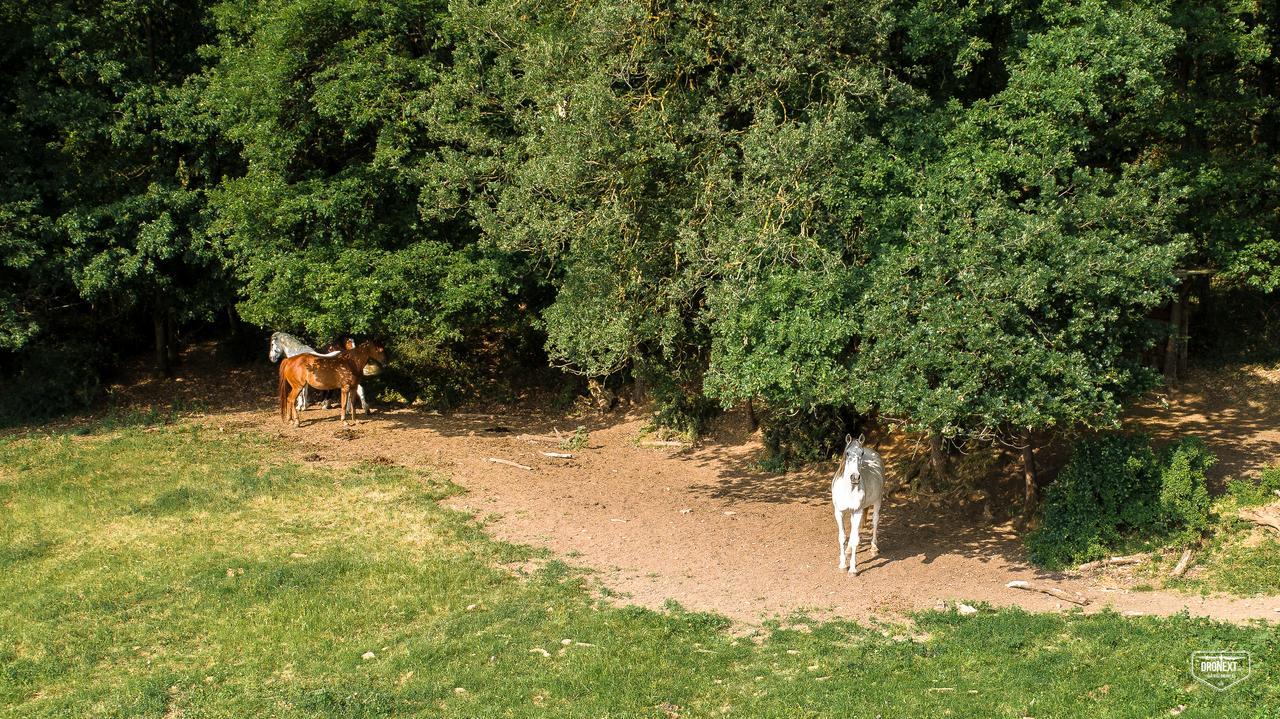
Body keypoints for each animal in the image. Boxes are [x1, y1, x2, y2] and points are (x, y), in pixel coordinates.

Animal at [829, 434, 880, 573]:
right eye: (847, 453)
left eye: (861, 453)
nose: (855, 477)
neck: (848, 489)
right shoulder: (839, 512)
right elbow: (842, 537)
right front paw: (842, 565)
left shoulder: (857, 512)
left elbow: (855, 539)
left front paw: (852, 569)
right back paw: (848, 550)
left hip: (877, 501)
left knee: (875, 521)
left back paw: (874, 547)